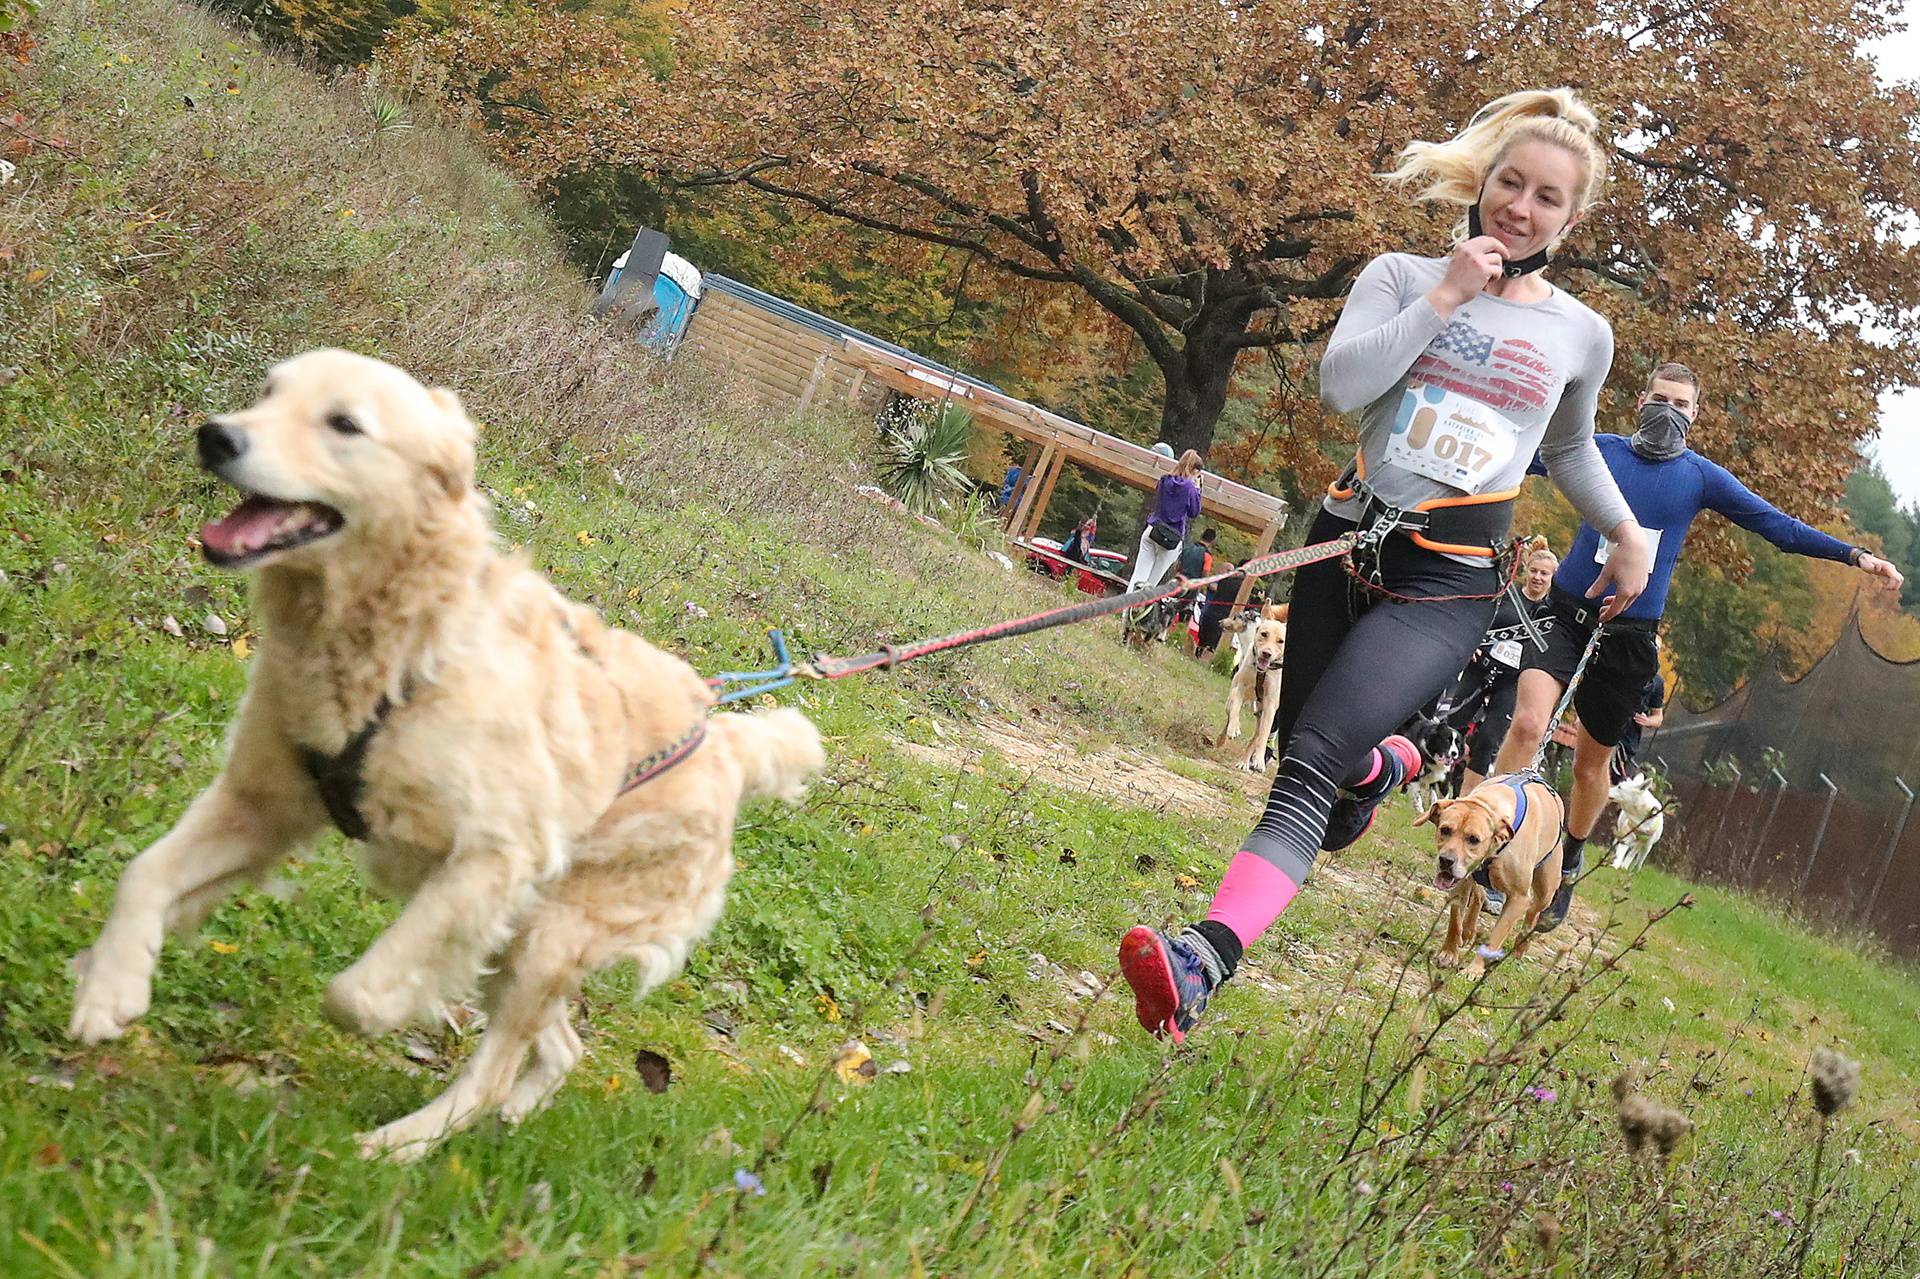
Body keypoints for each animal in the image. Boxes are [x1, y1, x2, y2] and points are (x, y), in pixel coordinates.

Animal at [69, 345, 825, 1152]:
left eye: (345, 423)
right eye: (268, 392)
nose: (215, 436)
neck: (403, 648)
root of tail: (723, 736)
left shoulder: (495, 856)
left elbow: (356, 995)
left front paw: (406, 1008)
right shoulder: (259, 805)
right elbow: (142, 874)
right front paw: (109, 985)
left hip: (547, 930)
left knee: (495, 1063)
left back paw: (400, 1144)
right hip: (529, 933)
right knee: (562, 1045)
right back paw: (513, 1113)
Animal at [1213, 599, 1290, 768]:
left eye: (1281, 641)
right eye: (1264, 634)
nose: (1266, 653)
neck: (1262, 672)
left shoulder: (1270, 706)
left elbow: (1263, 736)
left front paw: (1259, 759)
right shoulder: (1239, 689)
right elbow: (1234, 710)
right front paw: (1234, 728)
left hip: (1265, 716)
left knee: (1257, 737)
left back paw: (1246, 761)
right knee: (1230, 713)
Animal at [1420, 768, 1566, 975]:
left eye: (1473, 839)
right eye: (1445, 830)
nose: (1446, 861)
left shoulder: (1518, 898)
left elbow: (1494, 938)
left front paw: (1474, 970)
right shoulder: (1459, 882)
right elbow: (1455, 920)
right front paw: (1448, 953)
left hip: (1545, 889)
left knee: (1533, 912)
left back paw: (1520, 947)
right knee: (1479, 896)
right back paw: (1469, 930)